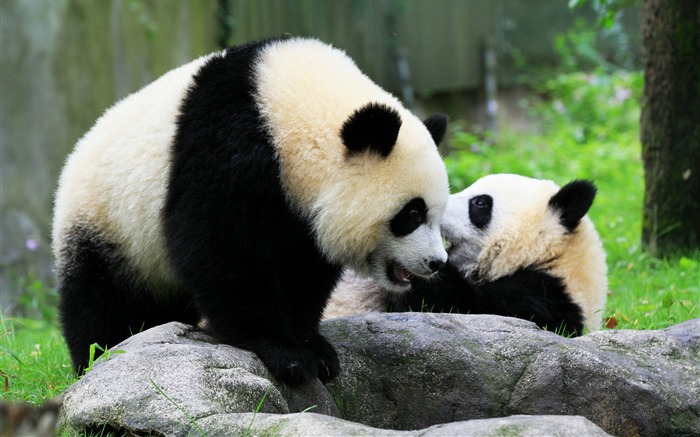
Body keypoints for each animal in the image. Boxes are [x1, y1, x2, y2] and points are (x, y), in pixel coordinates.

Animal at [53, 37, 448, 384]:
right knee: (103, 301)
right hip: (110, 224)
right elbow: (219, 249)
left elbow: (304, 269)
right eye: (412, 214)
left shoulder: (298, 213)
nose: (436, 262)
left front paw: (314, 348)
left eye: (437, 213)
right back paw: (99, 356)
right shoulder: (227, 148)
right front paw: (286, 353)